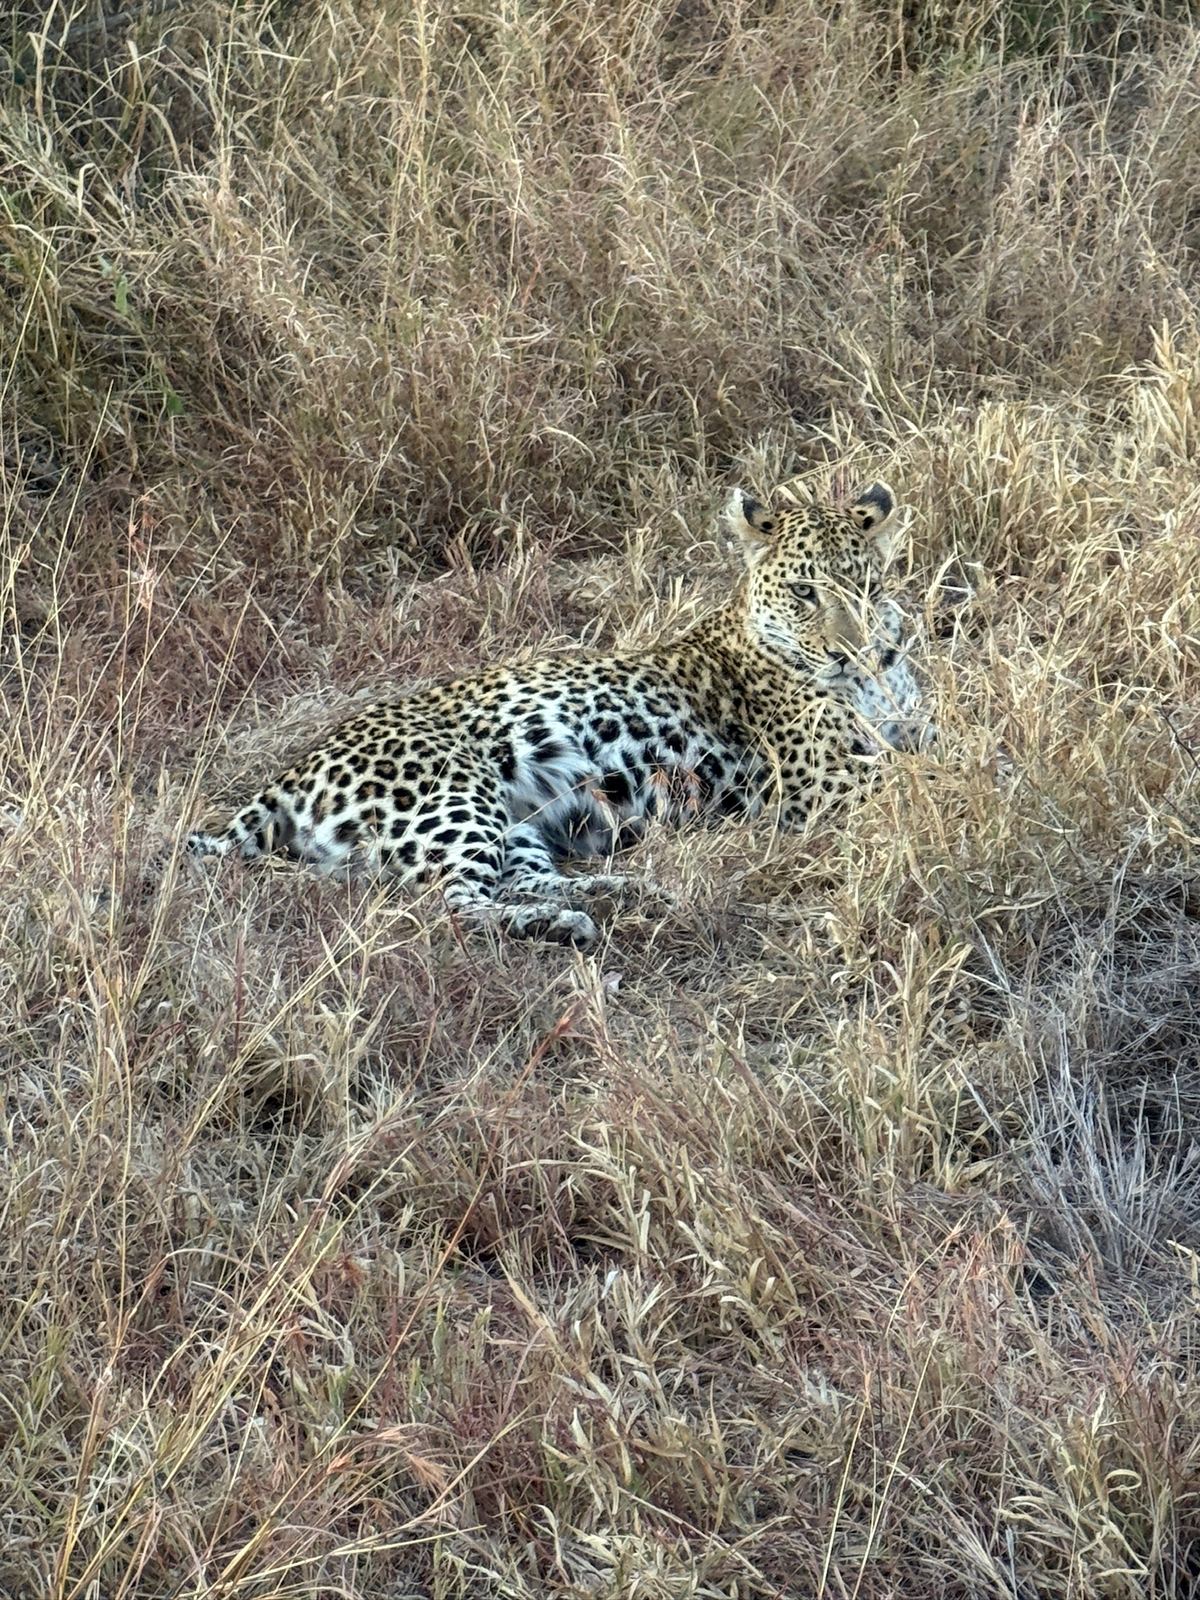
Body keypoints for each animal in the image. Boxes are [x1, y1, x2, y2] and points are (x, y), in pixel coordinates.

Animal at [187, 480, 932, 948]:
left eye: (866, 587)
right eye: (805, 592)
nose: (849, 653)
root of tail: (290, 773)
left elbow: (935, 752)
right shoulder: (821, 779)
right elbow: (921, 777)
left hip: (515, 821)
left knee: (516, 880)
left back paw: (622, 893)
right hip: (454, 795)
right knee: (453, 906)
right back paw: (570, 921)